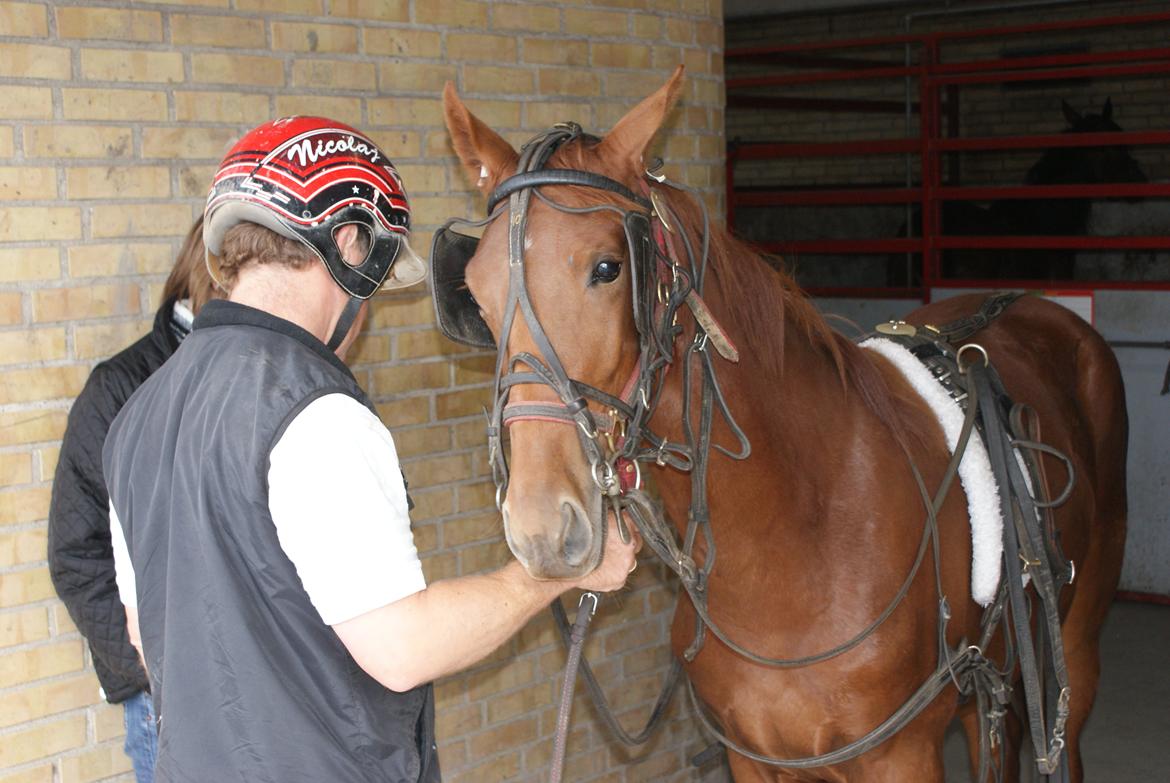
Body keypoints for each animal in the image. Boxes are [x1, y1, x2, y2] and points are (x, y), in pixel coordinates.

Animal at [437, 70, 1123, 777]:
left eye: (608, 267)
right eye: (475, 295)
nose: (542, 527)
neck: (799, 534)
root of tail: (1039, 305)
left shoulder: (902, 758)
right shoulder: (753, 757)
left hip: (1074, 646)